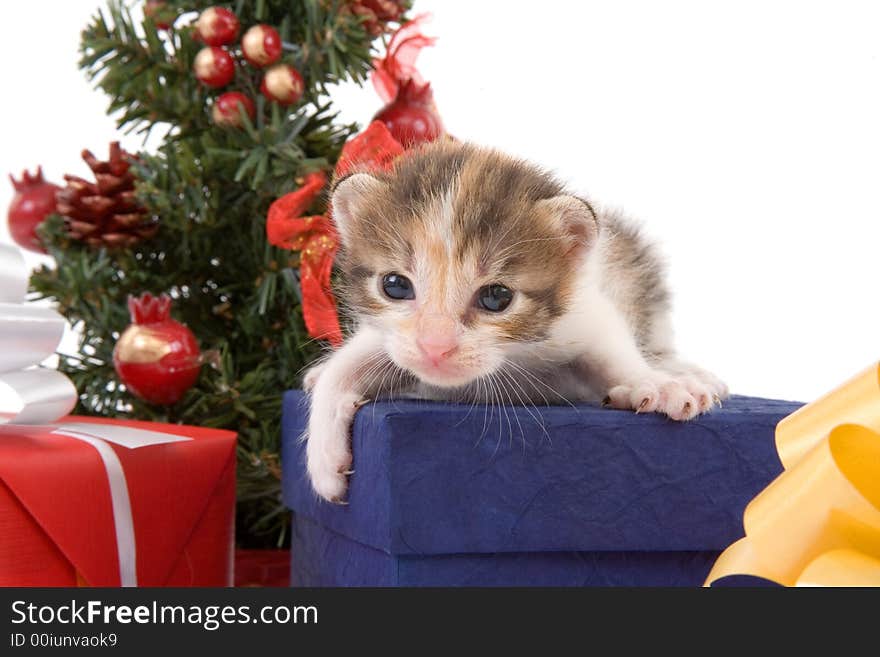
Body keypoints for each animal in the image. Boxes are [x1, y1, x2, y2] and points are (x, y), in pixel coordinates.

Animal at [302, 137, 728, 498]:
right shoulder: (390, 339)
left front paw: (659, 385)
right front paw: (324, 460)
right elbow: (347, 367)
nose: (435, 347)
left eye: (496, 297)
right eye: (394, 285)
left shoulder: (583, 315)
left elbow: (615, 353)